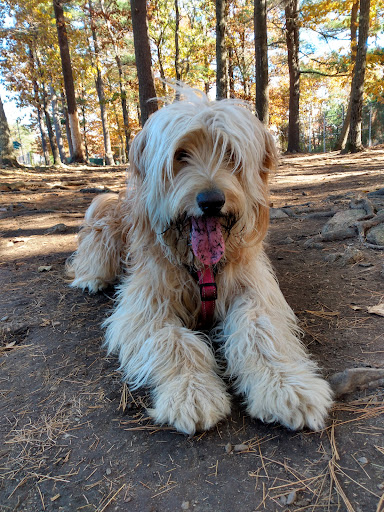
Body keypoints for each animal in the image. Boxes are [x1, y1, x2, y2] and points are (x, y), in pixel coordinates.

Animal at [69, 89, 332, 436]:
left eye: (230, 153)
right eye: (180, 155)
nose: (211, 201)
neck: (201, 266)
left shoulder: (254, 291)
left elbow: (260, 330)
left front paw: (287, 387)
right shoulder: (145, 307)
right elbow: (174, 341)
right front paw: (192, 392)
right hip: (106, 215)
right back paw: (92, 277)